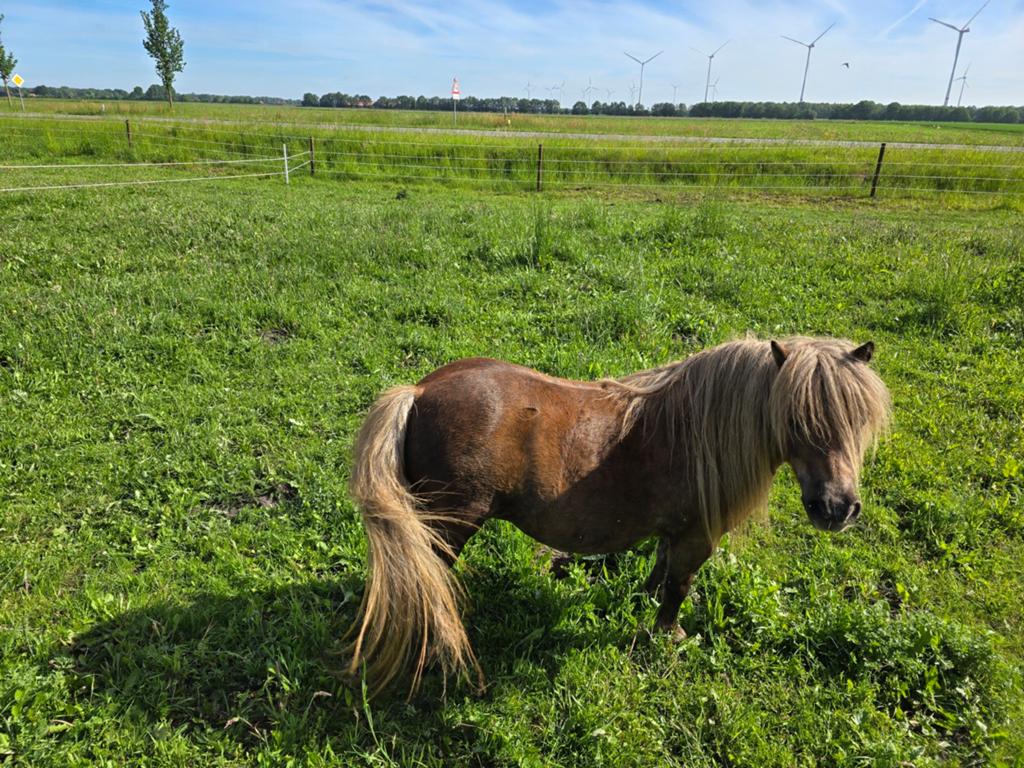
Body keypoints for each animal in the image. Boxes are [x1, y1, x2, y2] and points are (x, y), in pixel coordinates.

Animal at [346, 336, 890, 693]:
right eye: (796, 420)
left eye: (860, 419)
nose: (837, 508)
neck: (693, 430)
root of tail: (418, 392)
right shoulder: (698, 536)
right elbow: (680, 586)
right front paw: (668, 635)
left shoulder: (676, 531)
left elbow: (662, 568)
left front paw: (644, 599)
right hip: (449, 525)